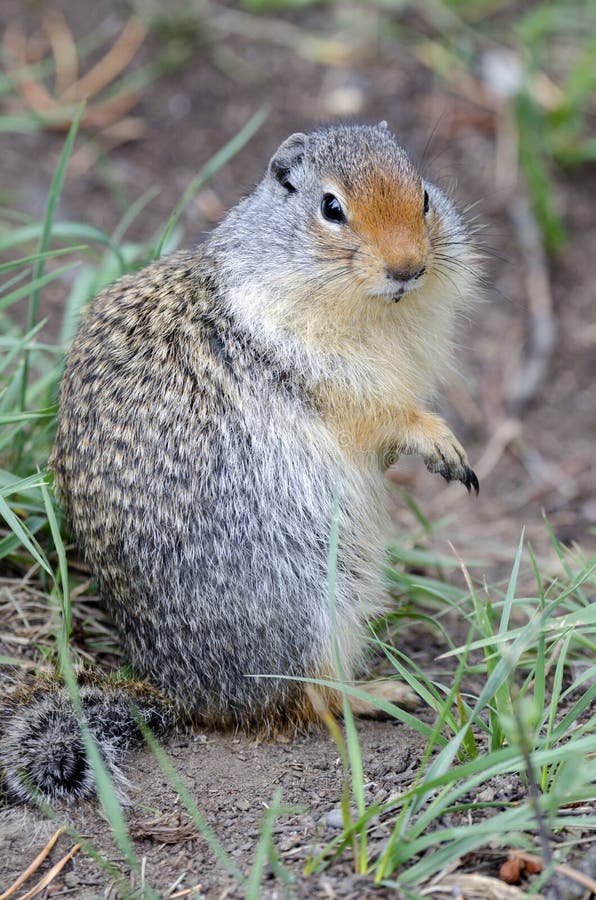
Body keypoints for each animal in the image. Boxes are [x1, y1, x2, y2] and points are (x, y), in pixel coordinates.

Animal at [0, 122, 479, 804]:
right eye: (331, 207)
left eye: (424, 195)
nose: (408, 267)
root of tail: (179, 693)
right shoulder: (321, 367)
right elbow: (381, 414)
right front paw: (436, 440)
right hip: (320, 603)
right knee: (306, 700)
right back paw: (379, 693)